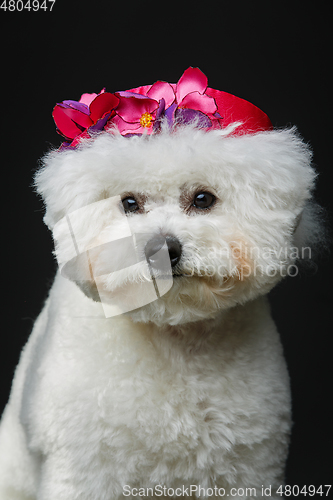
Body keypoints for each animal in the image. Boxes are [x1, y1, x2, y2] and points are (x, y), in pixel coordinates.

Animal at [0, 68, 322, 498]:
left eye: (203, 199)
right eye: (129, 203)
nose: (162, 249)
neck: (174, 338)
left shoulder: (248, 469)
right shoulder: (86, 469)